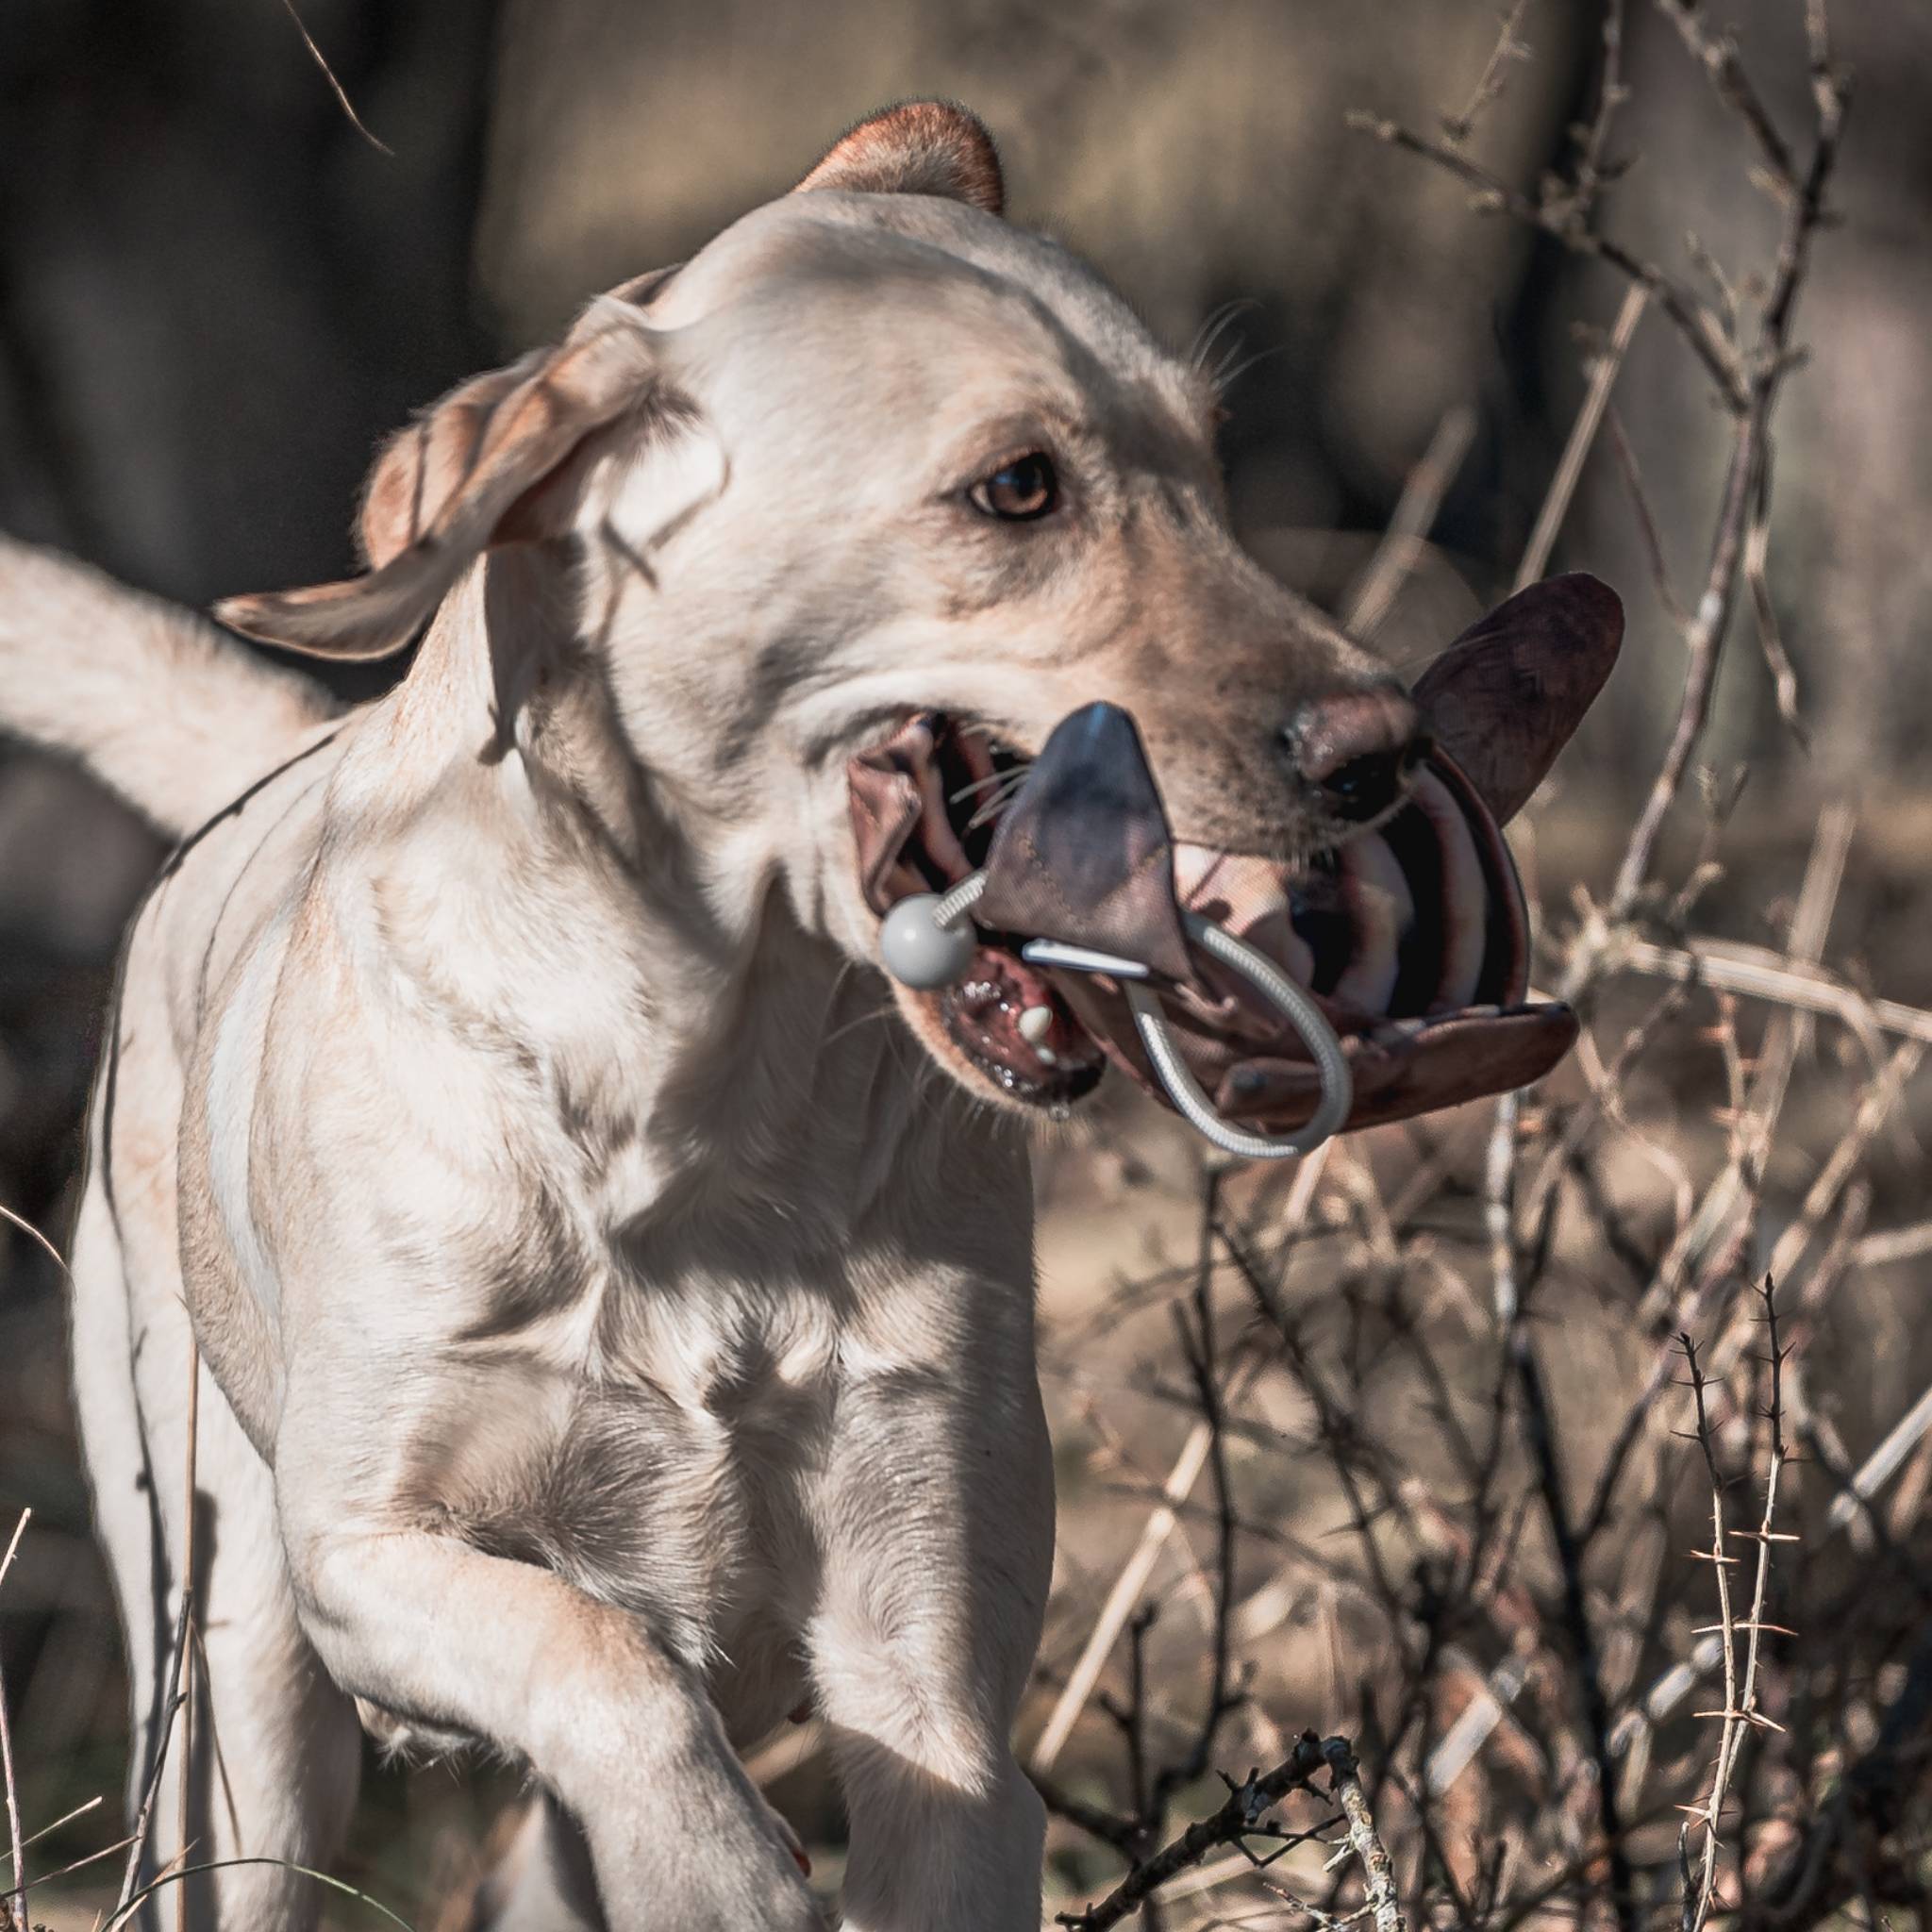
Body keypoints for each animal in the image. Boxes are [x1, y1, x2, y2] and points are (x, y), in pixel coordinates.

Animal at [0, 102, 1623, 1932]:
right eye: (1017, 487)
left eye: (1209, 467)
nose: (1383, 751)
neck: (713, 1099)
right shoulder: (368, 1550)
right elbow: (603, 1657)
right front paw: (724, 1870)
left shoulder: (932, 1674)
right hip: (233, 1681)